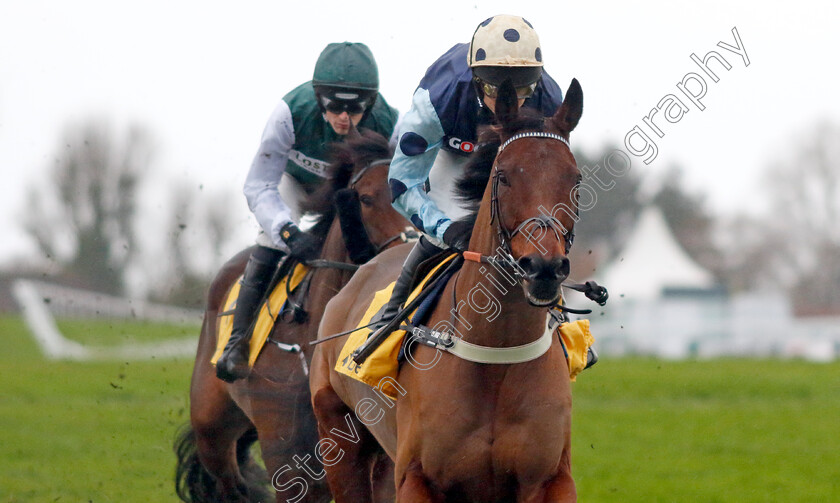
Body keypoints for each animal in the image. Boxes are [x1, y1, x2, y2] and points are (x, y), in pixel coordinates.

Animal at [312, 79, 588, 503]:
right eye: (503, 176)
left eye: (575, 179)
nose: (543, 267)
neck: (496, 356)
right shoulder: (417, 479)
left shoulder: (551, 479)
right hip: (339, 438)